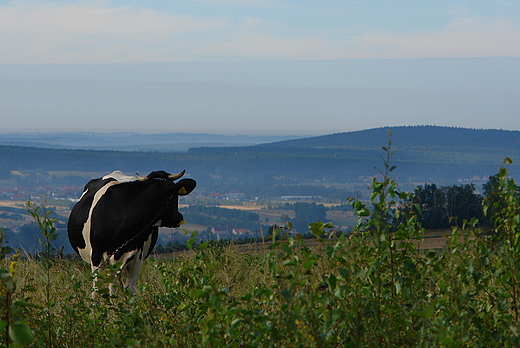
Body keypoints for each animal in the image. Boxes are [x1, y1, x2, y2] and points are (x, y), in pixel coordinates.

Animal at [68, 169, 196, 296]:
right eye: (175, 197)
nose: (179, 217)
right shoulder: (96, 255)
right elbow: (97, 289)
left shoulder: (135, 256)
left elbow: (130, 289)